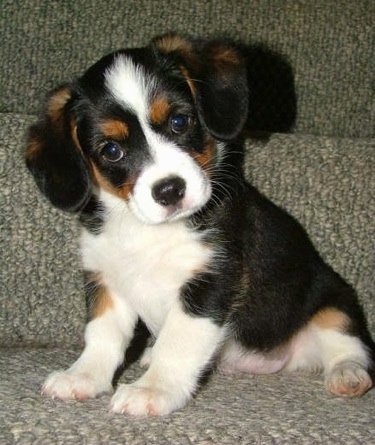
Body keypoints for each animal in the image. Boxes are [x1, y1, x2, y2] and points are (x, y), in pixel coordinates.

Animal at [25, 33, 374, 414]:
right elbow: (102, 336)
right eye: (111, 150)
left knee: (348, 346)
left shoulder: (210, 281)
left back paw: (347, 374)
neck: (147, 231)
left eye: (180, 122)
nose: (169, 190)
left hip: (333, 303)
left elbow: (177, 343)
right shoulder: (106, 281)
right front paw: (83, 377)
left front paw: (152, 390)